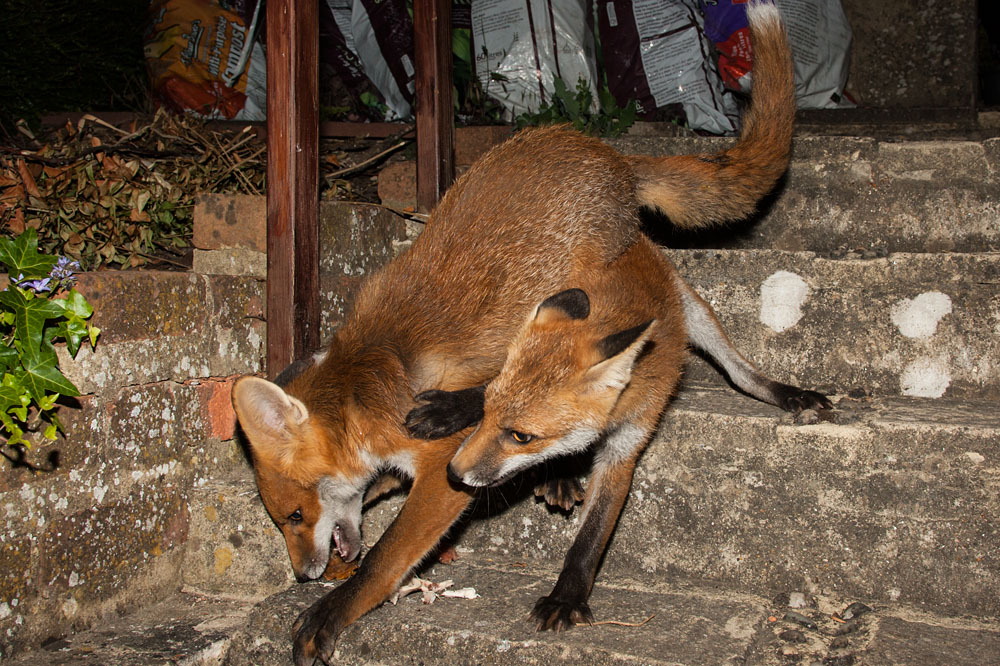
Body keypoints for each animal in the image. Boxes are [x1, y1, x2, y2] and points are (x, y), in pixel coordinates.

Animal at [230, 2, 808, 663]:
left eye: (295, 517)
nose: (303, 575)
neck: (367, 389)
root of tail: (603, 151)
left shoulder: (440, 471)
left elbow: (385, 559)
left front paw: (329, 612)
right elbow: (377, 496)